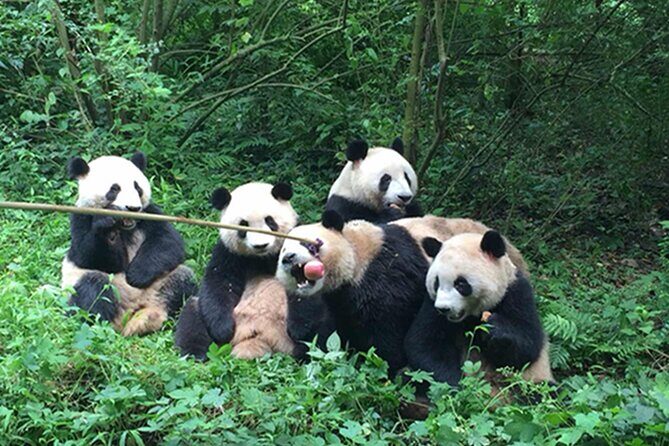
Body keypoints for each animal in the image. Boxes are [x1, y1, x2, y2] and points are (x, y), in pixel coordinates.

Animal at [62, 152, 196, 336]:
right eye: (114, 189)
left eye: (137, 187)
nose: (133, 208)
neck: (125, 227)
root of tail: (130, 313)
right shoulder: (81, 217)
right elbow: (88, 256)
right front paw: (107, 226)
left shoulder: (150, 214)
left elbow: (168, 242)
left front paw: (136, 275)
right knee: (93, 286)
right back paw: (98, 325)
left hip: (159, 285)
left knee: (182, 280)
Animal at [174, 182, 299, 360]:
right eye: (243, 225)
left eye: (270, 221)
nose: (260, 245)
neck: (263, 257)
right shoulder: (229, 253)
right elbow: (219, 283)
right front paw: (223, 329)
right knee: (193, 314)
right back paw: (195, 353)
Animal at [404, 230, 553, 391]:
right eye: (436, 283)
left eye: (460, 283)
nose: (443, 309)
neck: (471, 316)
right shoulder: (431, 305)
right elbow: (425, 344)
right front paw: (456, 387)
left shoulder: (516, 292)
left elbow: (528, 345)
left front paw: (495, 328)